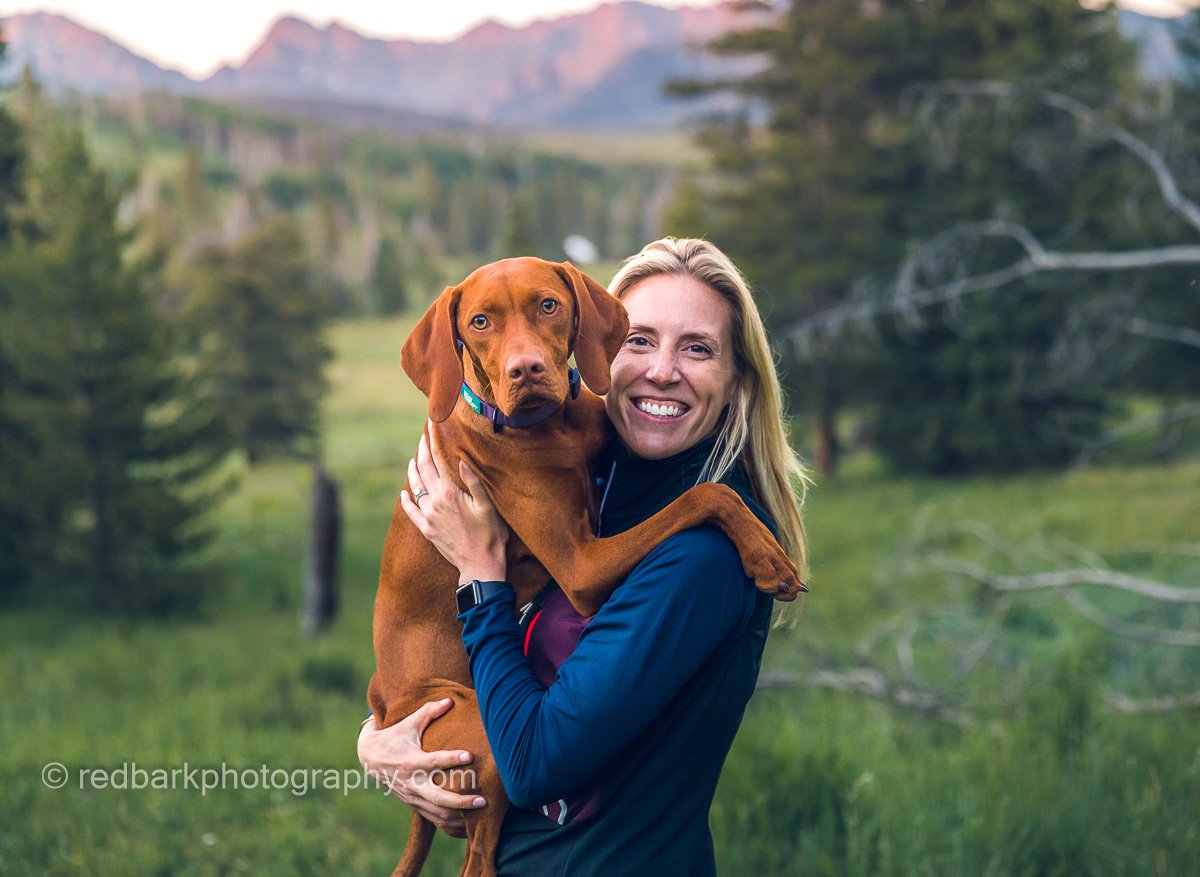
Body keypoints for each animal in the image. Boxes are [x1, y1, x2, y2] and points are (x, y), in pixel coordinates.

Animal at [372, 256, 806, 873]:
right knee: (477, 859)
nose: (525, 370)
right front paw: (767, 554)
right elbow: (707, 494)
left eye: (548, 305)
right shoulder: (581, 566)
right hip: (476, 734)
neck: (553, 427)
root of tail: (385, 704)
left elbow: (710, 488)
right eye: (480, 321)